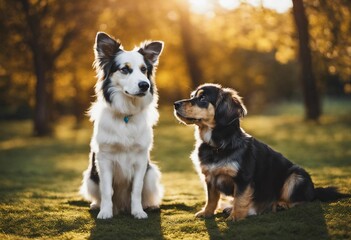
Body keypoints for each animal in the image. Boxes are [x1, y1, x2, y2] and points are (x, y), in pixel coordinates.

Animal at [80, 31, 164, 219]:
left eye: (144, 69)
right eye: (124, 69)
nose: (145, 85)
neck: (126, 114)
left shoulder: (141, 160)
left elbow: (136, 190)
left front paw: (138, 212)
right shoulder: (104, 159)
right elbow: (106, 190)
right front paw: (105, 212)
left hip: (151, 173)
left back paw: (150, 206)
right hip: (90, 177)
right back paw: (97, 205)